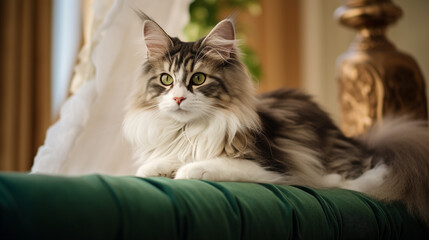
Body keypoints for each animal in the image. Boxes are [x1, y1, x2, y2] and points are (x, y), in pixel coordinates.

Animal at [122, 11, 428, 225]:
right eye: (166, 79)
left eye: (198, 79)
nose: (178, 98)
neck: (188, 129)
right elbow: (160, 162)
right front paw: (157, 167)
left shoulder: (270, 166)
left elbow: (209, 165)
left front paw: (188, 170)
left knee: (375, 171)